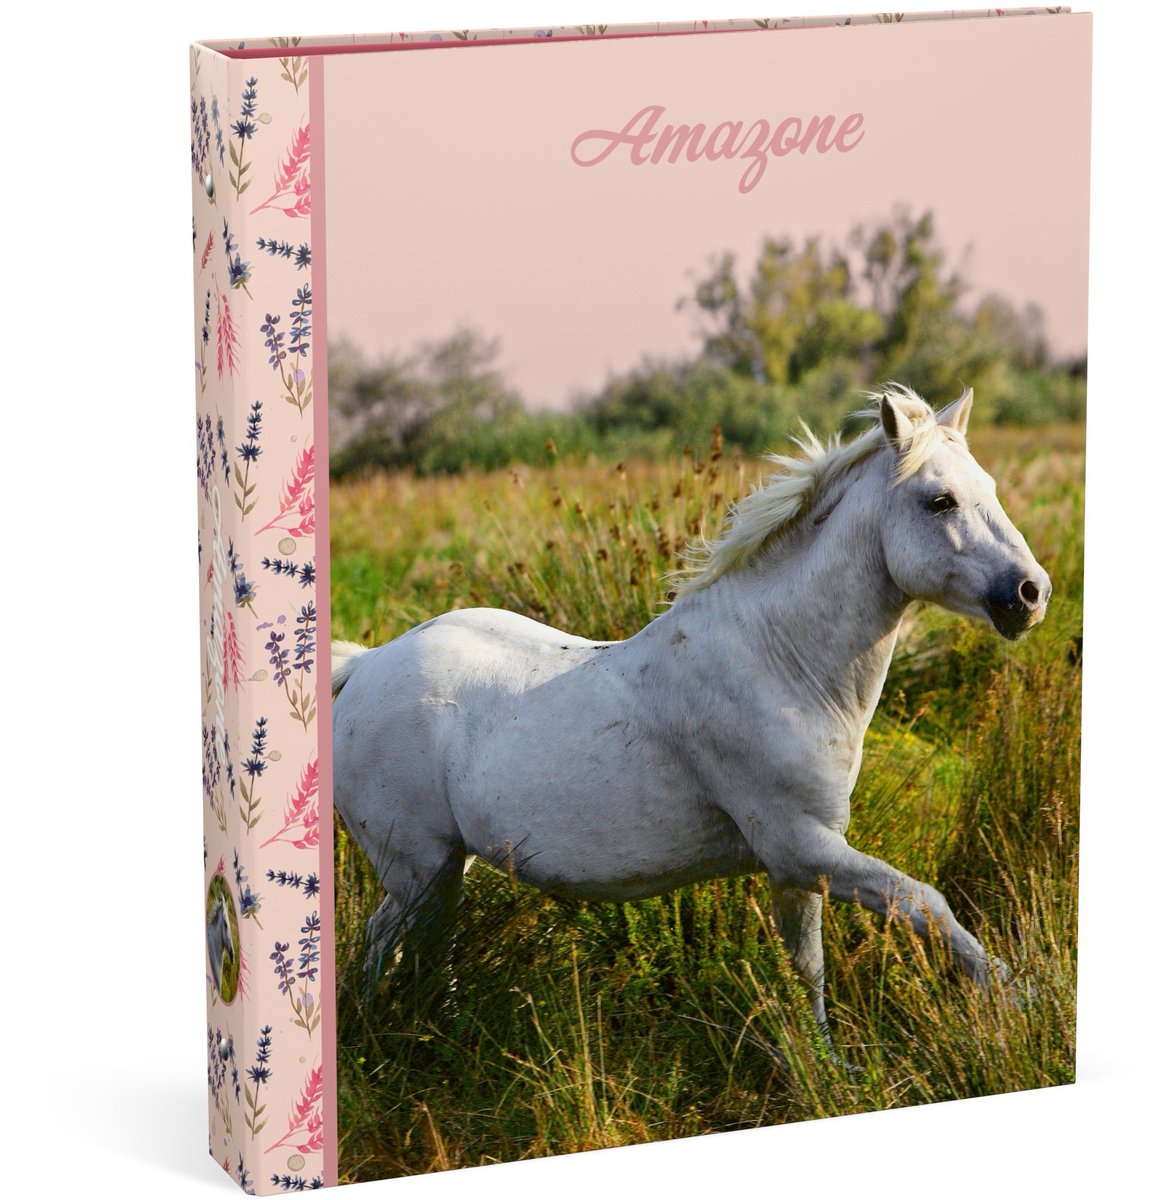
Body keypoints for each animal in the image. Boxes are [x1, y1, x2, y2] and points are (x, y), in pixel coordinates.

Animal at [331, 385, 1050, 1032]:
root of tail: (365, 665)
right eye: (940, 500)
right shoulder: (800, 845)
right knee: (390, 941)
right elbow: (925, 904)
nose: (1030, 593)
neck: (780, 662)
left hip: (446, 867)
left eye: (989, 486)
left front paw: (824, 1064)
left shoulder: (798, 866)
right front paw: (1019, 996)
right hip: (418, 866)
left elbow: (808, 969)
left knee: (417, 945)